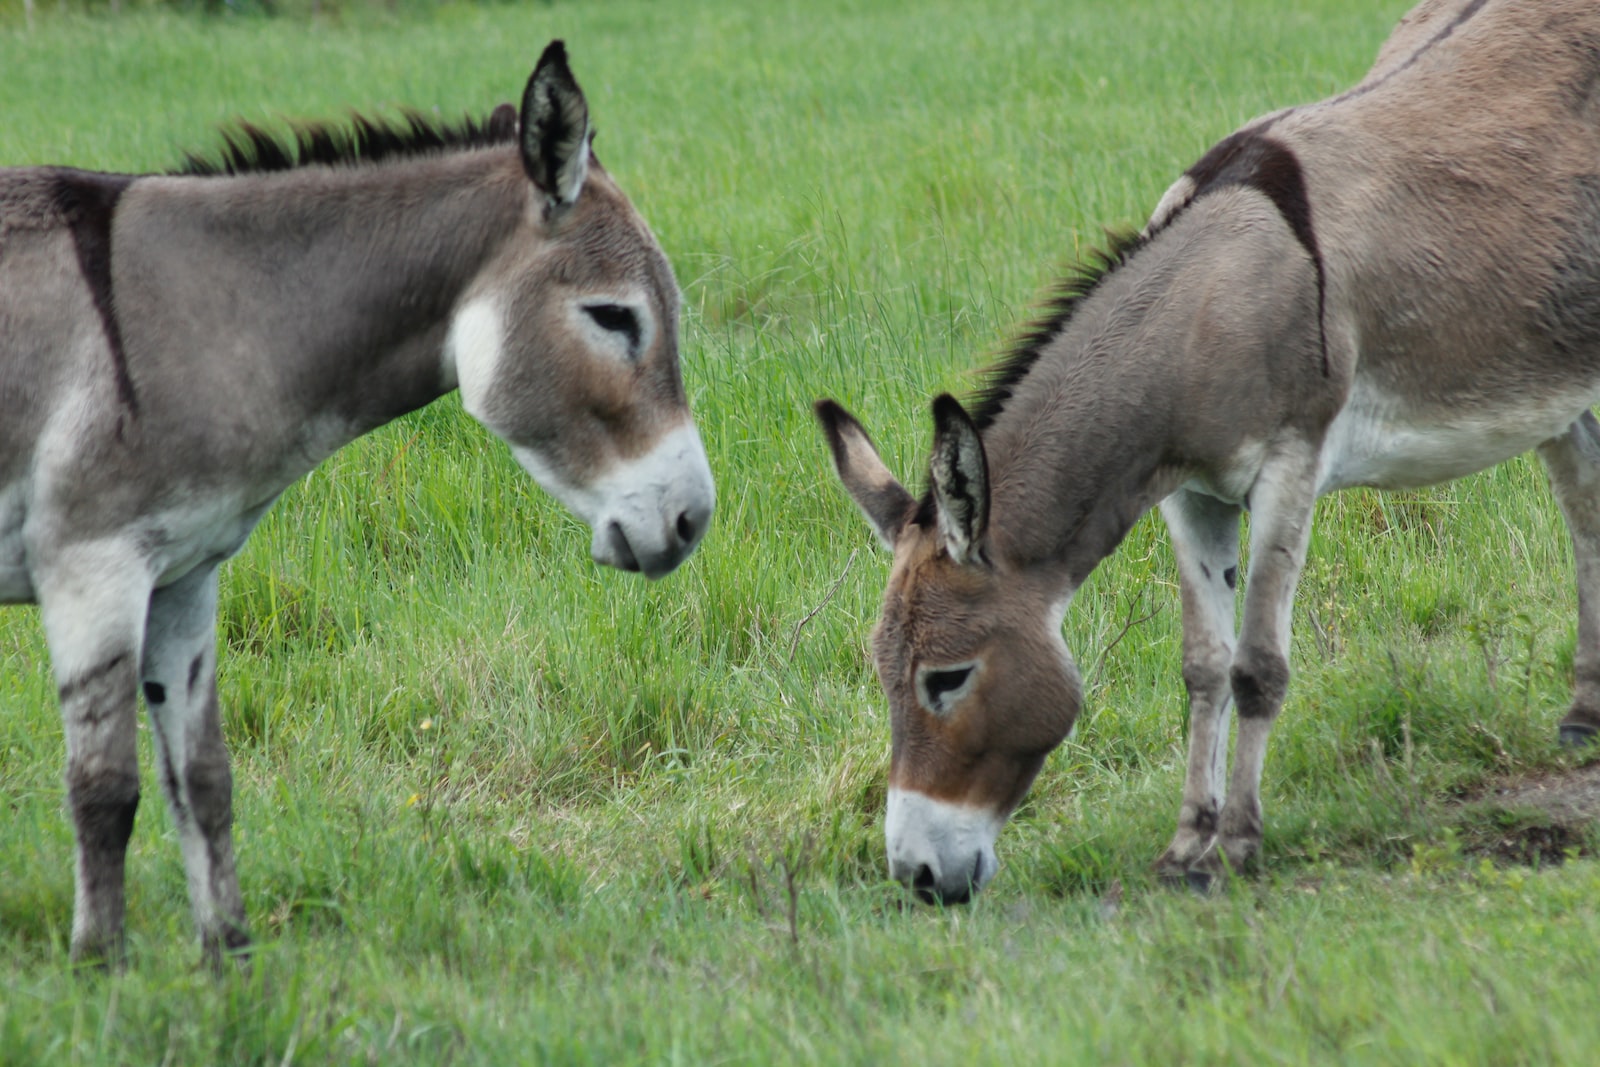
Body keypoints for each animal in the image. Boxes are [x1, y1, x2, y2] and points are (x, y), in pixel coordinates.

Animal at [0, 41, 714, 966]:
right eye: (612, 316)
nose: (693, 518)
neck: (204, 318)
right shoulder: (92, 562)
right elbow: (104, 788)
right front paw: (103, 969)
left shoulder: (184, 574)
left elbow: (204, 780)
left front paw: (230, 961)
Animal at [816, 0, 1600, 903]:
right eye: (882, 673)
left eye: (946, 678)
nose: (917, 876)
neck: (1213, 303)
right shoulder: (1188, 493)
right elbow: (1203, 666)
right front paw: (1188, 843)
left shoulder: (1292, 465)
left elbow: (1257, 666)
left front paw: (1239, 845)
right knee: (1583, 489)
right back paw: (1585, 712)